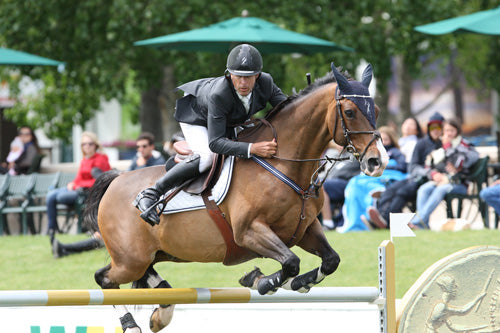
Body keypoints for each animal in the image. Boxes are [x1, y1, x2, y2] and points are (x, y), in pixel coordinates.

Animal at [85, 61, 390, 330]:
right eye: (349, 111)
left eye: (374, 108)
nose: (378, 161)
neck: (286, 165)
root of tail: (115, 181)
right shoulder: (249, 232)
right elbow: (290, 262)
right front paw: (261, 281)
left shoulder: (304, 228)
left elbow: (330, 260)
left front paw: (292, 283)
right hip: (130, 259)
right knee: (104, 279)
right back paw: (131, 323)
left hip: (155, 254)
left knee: (141, 278)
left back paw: (161, 314)